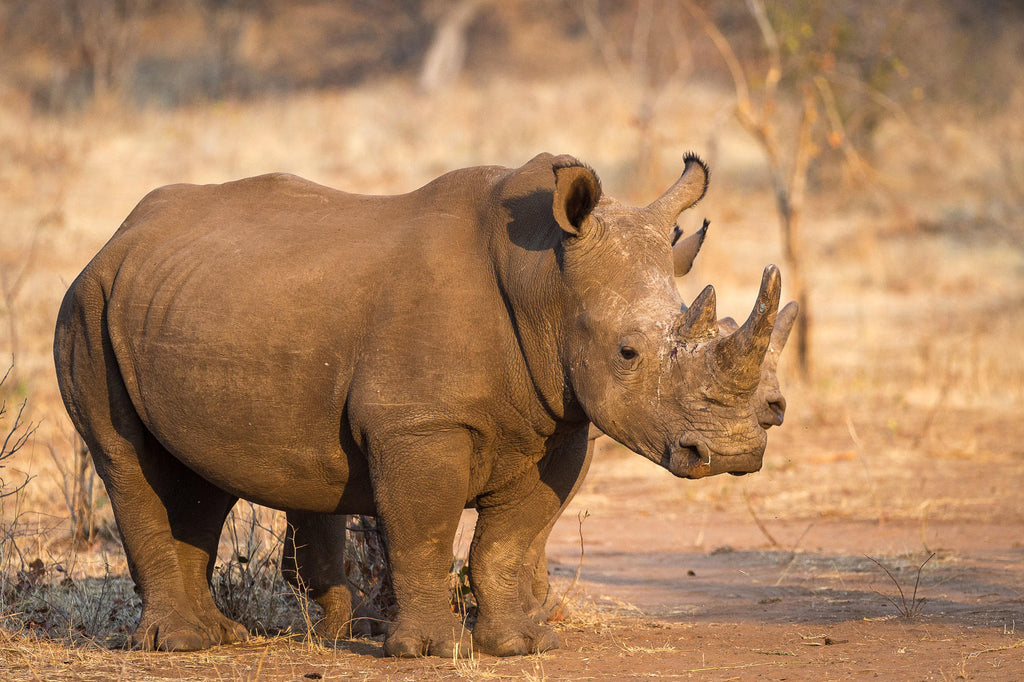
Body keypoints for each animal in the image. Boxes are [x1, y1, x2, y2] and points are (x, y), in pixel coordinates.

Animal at [54, 152, 783, 657]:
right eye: (628, 353)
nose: (731, 454)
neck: (544, 281)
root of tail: (117, 235)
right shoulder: (419, 424)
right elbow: (426, 530)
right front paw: (433, 651)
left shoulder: (561, 421)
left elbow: (511, 540)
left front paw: (520, 645)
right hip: (88, 302)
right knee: (128, 460)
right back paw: (182, 645)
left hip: (176, 301)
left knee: (197, 477)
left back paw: (219, 637)